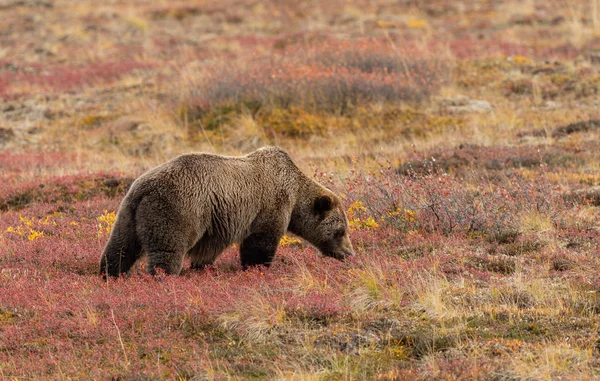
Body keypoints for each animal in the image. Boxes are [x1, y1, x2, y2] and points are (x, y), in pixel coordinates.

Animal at [97, 146, 352, 276]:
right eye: (340, 231)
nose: (349, 254)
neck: (295, 192)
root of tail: (143, 187)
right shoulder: (270, 206)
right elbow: (260, 242)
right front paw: (258, 268)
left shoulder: (219, 222)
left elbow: (209, 250)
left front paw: (202, 266)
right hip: (176, 209)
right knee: (166, 250)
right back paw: (163, 276)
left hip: (129, 212)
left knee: (121, 245)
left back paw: (110, 273)